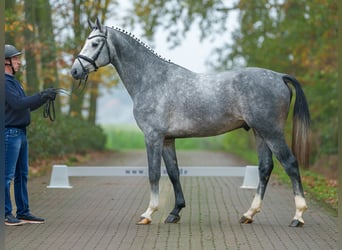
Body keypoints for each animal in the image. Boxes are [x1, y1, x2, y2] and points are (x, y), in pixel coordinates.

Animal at [71, 18, 310, 228]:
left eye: (95, 43)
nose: (75, 70)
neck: (152, 80)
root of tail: (279, 76)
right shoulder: (167, 139)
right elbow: (173, 173)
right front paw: (175, 212)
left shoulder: (153, 137)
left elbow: (153, 173)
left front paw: (148, 213)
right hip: (260, 133)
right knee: (265, 168)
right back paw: (249, 214)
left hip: (271, 132)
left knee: (290, 164)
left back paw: (298, 216)